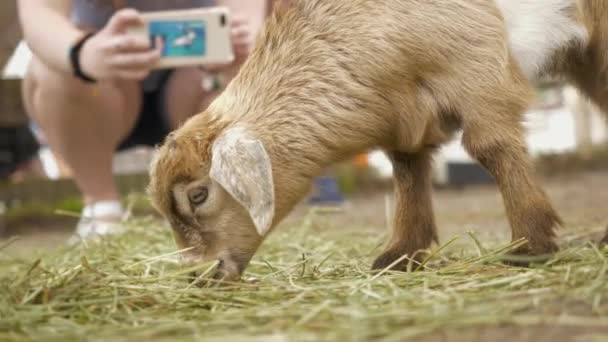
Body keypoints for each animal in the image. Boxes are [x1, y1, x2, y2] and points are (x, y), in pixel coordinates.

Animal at [146, 0, 608, 280]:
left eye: (199, 195)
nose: (197, 272)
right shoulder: (405, 114)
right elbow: (407, 170)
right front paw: (401, 255)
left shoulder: (475, 64)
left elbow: (491, 146)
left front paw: (530, 245)